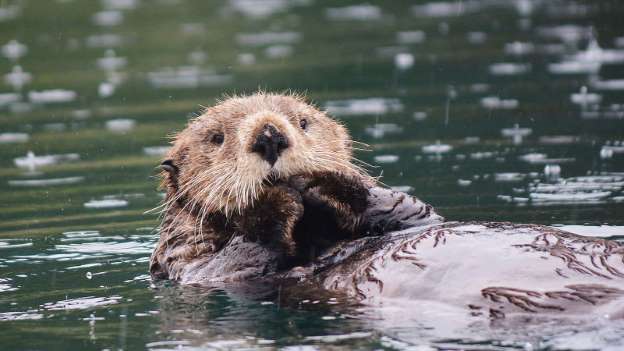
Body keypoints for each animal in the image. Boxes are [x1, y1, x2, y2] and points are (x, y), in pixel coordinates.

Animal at [151, 93, 624, 320]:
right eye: (217, 138)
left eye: (303, 122)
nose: (270, 135)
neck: (315, 233)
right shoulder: (190, 265)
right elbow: (231, 264)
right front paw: (276, 200)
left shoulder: (411, 216)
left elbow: (408, 210)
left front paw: (327, 182)